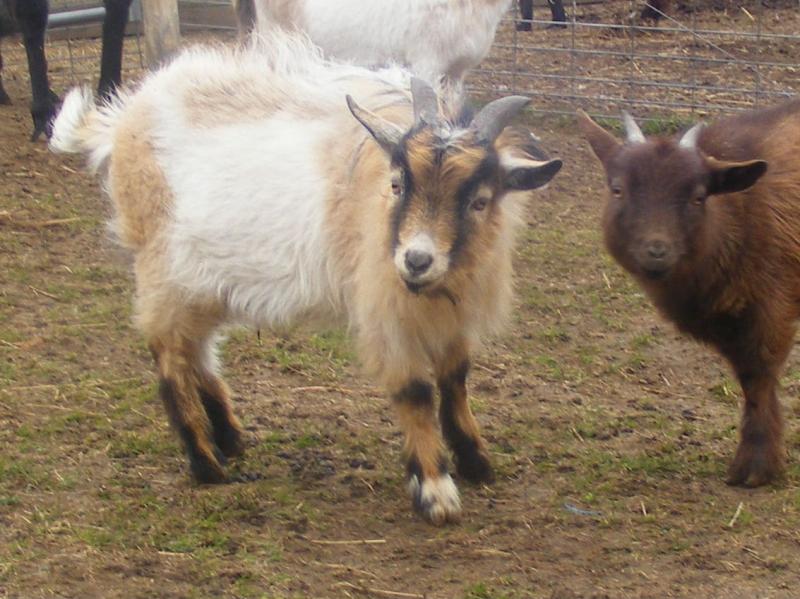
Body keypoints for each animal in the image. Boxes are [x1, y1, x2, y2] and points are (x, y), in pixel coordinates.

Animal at [50, 33, 562, 524]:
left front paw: (477, 462)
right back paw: (206, 464)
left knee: (196, 348)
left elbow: (456, 379)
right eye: (397, 184)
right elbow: (415, 391)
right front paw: (436, 491)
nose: (417, 260)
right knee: (168, 355)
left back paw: (229, 437)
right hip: (161, 269)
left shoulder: (450, 311)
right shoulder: (386, 309)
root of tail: (123, 120)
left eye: (479, 200)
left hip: (203, 280)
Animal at [578, 100, 800, 487]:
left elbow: (759, 377)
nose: (657, 251)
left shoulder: (773, 304)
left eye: (698, 197)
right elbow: (747, 378)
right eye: (618, 189)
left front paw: (756, 466)